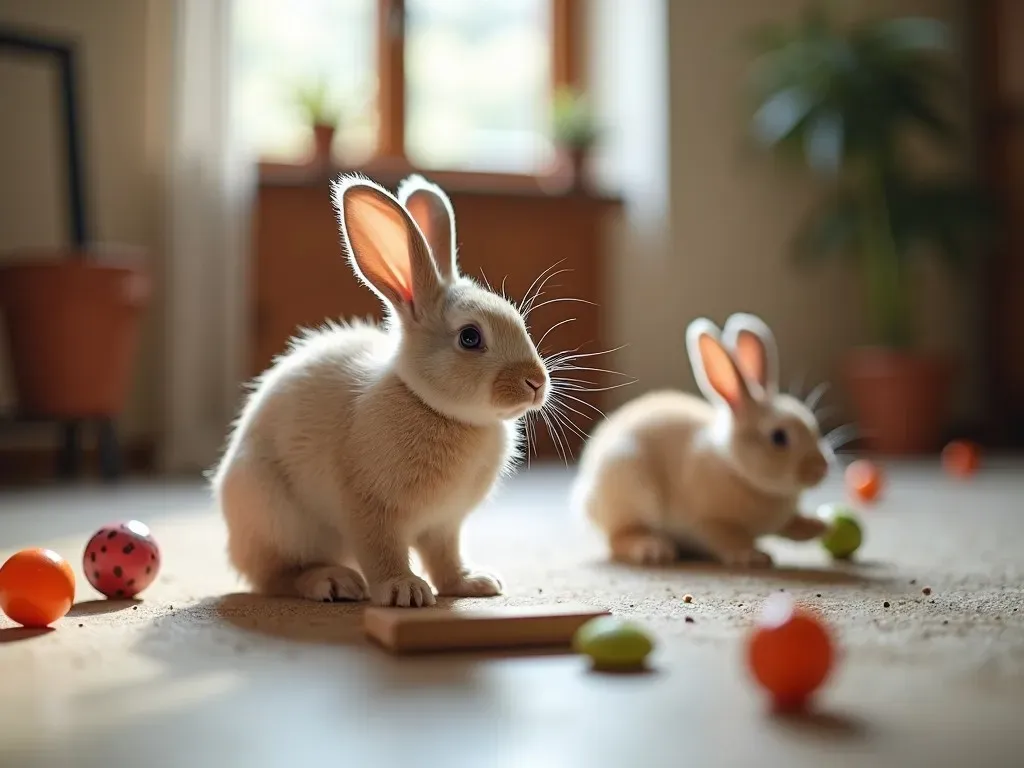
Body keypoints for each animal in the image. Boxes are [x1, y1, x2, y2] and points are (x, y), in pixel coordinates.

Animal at [211, 174, 552, 606]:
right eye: (470, 337)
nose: (536, 383)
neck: (433, 407)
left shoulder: (444, 524)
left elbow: (446, 558)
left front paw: (473, 584)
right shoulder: (370, 509)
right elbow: (382, 552)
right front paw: (405, 590)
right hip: (277, 519)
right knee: (275, 577)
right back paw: (332, 582)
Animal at [577, 313, 831, 573]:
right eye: (779, 437)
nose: (822, 468)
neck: (737, 469)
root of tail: (584, 497)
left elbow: (792, 526)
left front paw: (821, 526)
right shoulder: (712, 522)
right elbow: (730, 539)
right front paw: (753, 556)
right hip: (631, 490)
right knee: (619, 537)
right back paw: (652, 548)